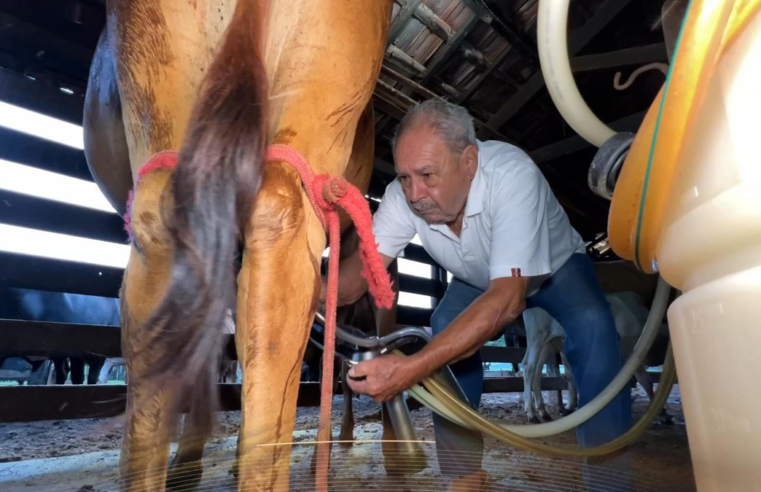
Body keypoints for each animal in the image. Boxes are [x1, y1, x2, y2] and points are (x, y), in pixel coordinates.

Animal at [516, 292, 672, 422]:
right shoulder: (629, 352)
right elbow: (644, 380)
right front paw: (661, 413)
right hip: (537, 337)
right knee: (528, 367)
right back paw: (532, 413)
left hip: (547, 343)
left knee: (536, 373)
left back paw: (543, 412)